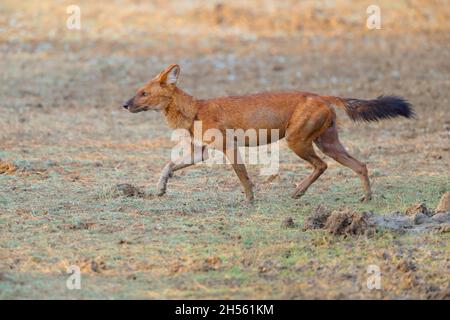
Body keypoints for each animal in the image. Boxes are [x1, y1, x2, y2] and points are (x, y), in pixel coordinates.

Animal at [123, 63, 414, 201]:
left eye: (144, 93)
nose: (124, 104)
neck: (195, 109)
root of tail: (321, 95)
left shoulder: (229, 147)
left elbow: (243, 177)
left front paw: (249, 201)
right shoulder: (202, 152)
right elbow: (169, 165)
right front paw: (160, 189)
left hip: (297, 141)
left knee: (322, 165)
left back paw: (299, 192)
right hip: (328, 143)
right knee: (360, 165)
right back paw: (366, 198)